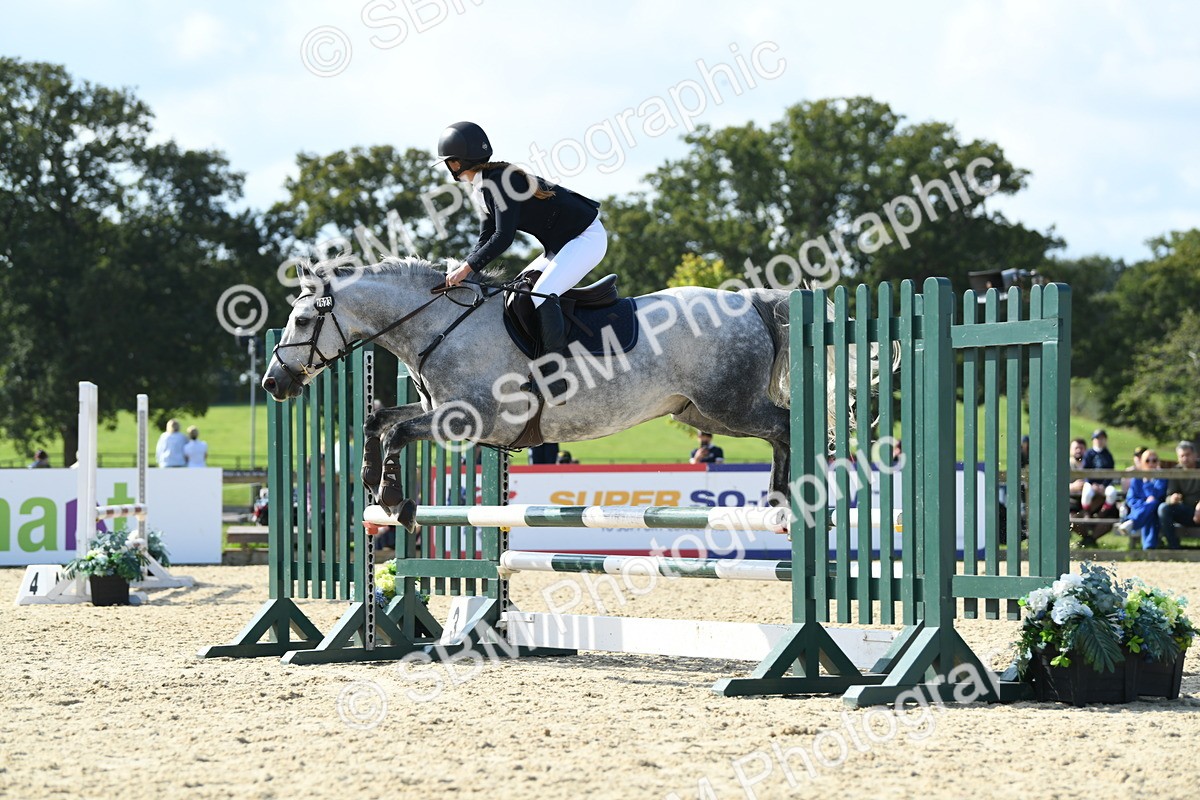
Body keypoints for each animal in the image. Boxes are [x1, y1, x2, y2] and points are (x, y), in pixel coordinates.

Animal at [263, 257, 805, 530]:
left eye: (304, 320)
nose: (272, 383)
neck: (440, 325)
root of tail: (747, 301)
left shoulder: (472, 418)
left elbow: (397, 433)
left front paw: (396, 501)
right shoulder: (438, 410)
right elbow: (378, 421)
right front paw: (372, 481)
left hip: (728, 405)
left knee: (784, 426)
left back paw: (790, 497)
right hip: (700, 414)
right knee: (779, 431)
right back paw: (781, 498)